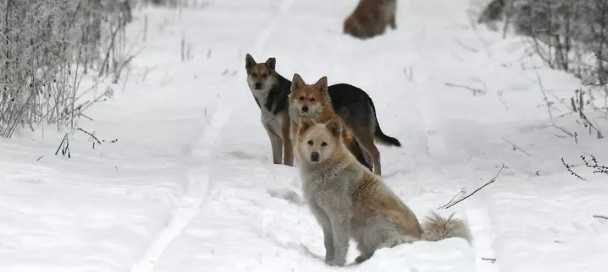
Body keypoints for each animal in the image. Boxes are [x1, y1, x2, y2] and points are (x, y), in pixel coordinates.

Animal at [294, 116, 470, 266]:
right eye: (310, 142)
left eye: (324, 144)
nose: (314, 155)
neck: (325, 171)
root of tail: (420, 235)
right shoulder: (324, 218)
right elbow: (328, 244)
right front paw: (327, 263)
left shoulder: (339, 217)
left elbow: (339, 244)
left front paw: (337, 265)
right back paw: (362, 258)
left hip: (373, 223)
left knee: (396, 242)